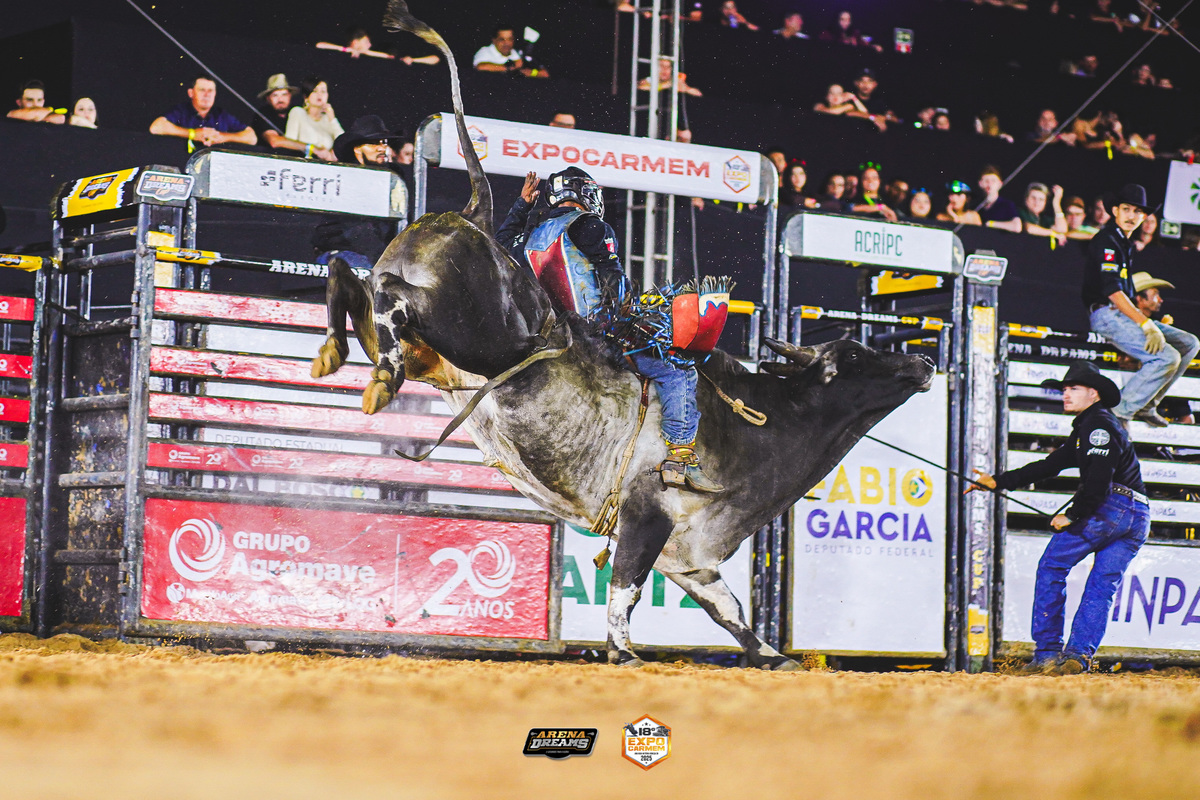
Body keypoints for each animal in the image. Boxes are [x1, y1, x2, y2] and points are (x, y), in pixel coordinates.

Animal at [313, 0, 935, 669]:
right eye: (856, 352)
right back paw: (376, 373)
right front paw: (621, 651)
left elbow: (730, 614)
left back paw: (340, 351)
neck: (757, 424)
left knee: (357, 284)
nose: (924, 364)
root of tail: (472, 216)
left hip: (436, 347)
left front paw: (774, 656)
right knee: (390, 297)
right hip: (475, 332)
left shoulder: (693, 558)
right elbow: (626, 586)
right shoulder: (648, 514)